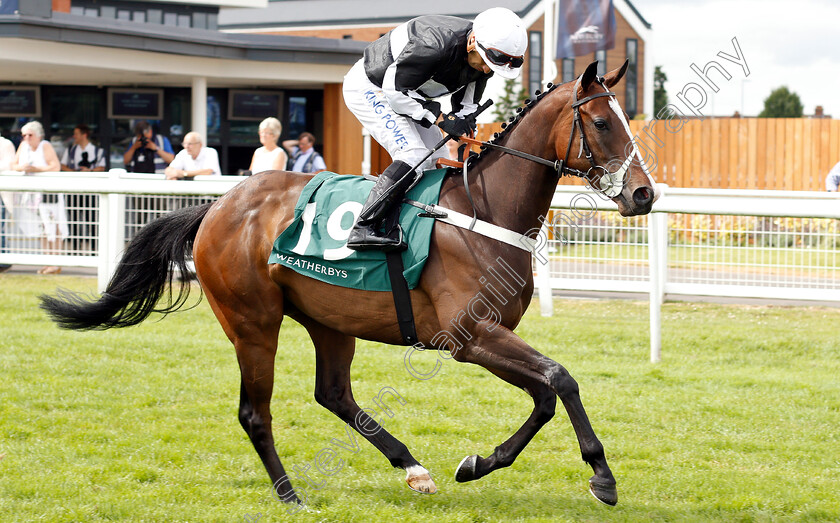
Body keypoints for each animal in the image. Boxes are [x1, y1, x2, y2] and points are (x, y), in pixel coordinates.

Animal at [41, 60, 656, 508]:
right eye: (603, 124)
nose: (644, 194)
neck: (484, 210)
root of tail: (217, 206)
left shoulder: (486, 337)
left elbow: (546, 395)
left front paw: (477, 464)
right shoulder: (470, 336)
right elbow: (560, 379)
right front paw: (602, 476)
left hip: (330, 321)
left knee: (333, 394)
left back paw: (413, 468)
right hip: (253, 323)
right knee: (255, 412)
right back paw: (290, 494)